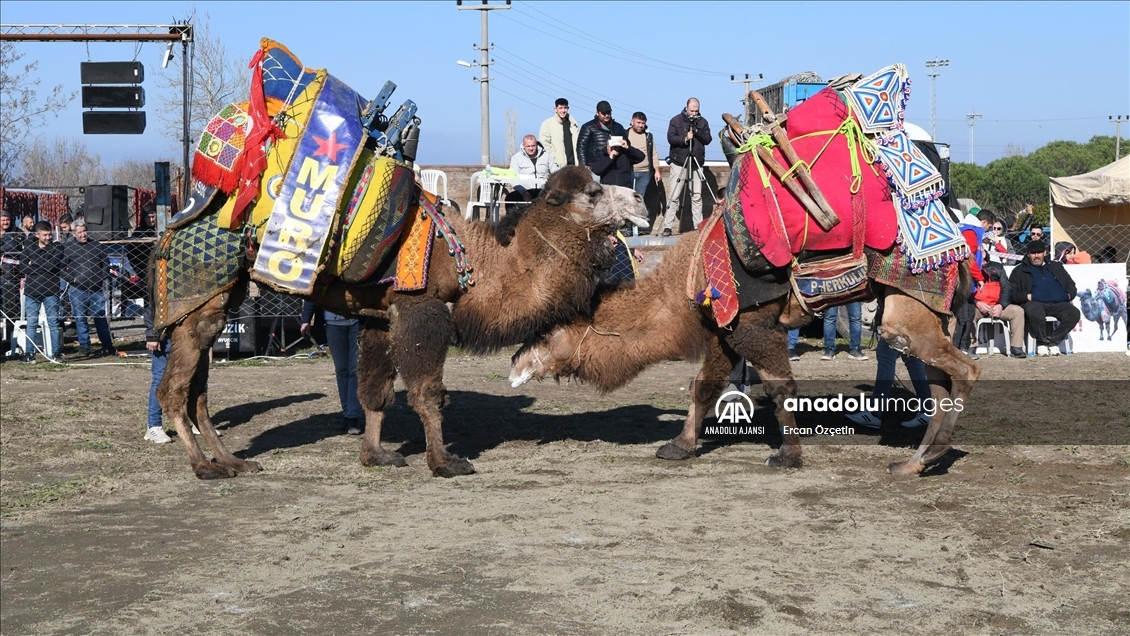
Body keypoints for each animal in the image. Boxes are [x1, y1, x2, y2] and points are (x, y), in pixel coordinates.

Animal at [160, 167, 655, 481]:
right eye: (592, 193)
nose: (639, 200)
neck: (478, 262)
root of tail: (175, 221)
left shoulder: (381, 315)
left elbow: (376, 392)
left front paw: (376, 455)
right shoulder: (423, 307)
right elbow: (427, 392)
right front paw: (444, 461)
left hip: (221, 297)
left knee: (198, 391)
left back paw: (234, 462)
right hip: (200, 296)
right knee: (175, 388)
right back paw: (204, 467)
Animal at [513, 231, 980, 474]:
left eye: (544, 335)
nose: (514, 363)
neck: (681, 281)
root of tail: (963, 252)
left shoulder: (753, 327)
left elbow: (780, 388)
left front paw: (788, 455)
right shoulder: (724, 331)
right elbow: (704, 387)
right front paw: (678, 446)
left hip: (906, 312)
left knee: (966, 369)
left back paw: (932, 454)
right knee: (940, 382)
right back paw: (915, 462)